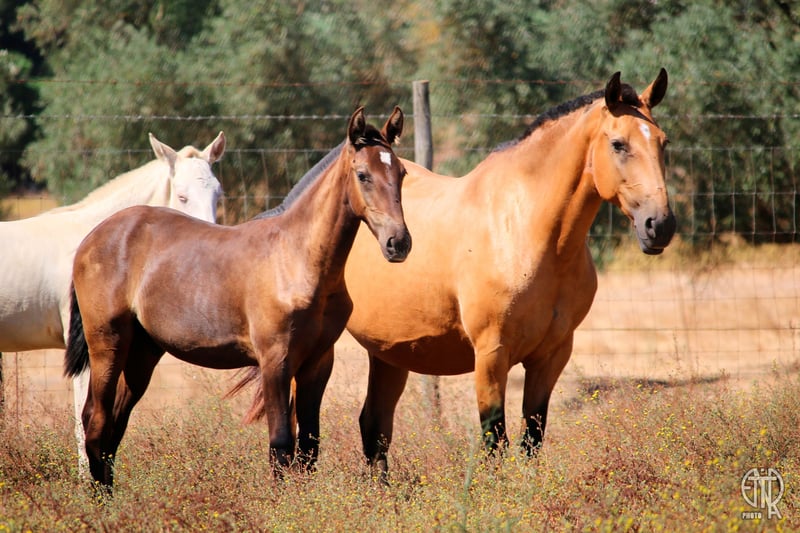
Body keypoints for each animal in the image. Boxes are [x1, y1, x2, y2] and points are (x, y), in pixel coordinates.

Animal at [64, 106, 411, 490]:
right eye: (362, 175)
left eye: (401, 172)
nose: (398, 243)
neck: (297, 258)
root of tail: (91, 238)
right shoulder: (275, 359)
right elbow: (281, 445)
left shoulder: (318, 362)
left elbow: (308, 448)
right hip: (107, 344)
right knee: (95, 422)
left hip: (142, 352)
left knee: (113, 424)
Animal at [231, 70, 675, 481]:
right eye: (618, 144)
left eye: (663, 143)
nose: (660, 226)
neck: (526, 230)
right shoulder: (491, 353)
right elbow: (495, 440)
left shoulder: (552, 355)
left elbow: (532, 439)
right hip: (309, 352)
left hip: (388, 352)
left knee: (374, 426)